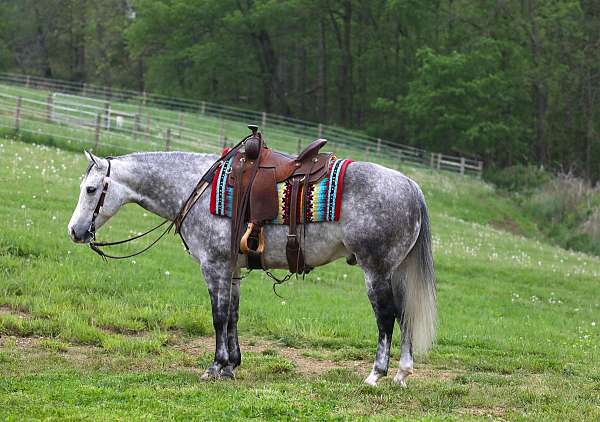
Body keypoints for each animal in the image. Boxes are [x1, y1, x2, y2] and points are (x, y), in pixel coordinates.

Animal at [68, 151, 436, 386]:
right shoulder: (231, 270)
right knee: (405, 315)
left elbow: (218, 317)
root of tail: (411, 186)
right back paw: (402, 373)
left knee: (386, 317)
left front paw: (215, 367)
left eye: (90, 189)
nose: (74, 231)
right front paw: (231, 366)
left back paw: (376, 374)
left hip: (375, 271)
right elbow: (232, 315)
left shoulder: (213, 266)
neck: (198, 189)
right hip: (395, 271)